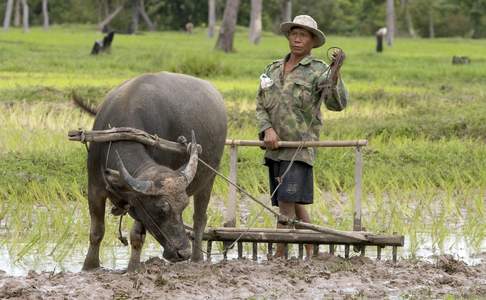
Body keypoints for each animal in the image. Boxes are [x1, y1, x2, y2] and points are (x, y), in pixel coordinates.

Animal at [81, 71, 228, 270]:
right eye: (160, 210)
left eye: (183, 207)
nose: (183, 253)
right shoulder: (95, 187)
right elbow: (97, 231)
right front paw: (90, 266)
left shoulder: (138, 200)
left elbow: (136, 235)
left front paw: (133, 267)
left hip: (208, 179)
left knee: (199, 219)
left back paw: (197, 259)